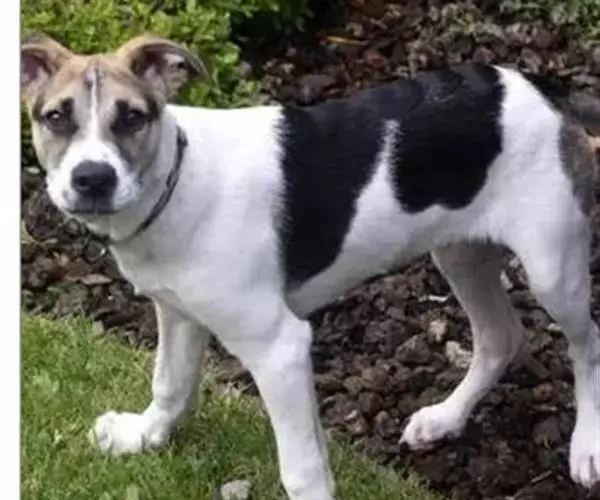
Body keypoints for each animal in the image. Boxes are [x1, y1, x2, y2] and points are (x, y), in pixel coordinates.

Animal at [21, 33, 600, 499]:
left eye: (132, 118)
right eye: (56, 118)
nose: (93, 180)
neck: (176, 181)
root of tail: (546, 91)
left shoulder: (279, 349)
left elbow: (301, 469)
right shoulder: (179, 314)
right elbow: (170, 384)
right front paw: (142, 437)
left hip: (551, 266)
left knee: (586, 344)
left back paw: (586, 446)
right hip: (460, 252)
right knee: (501, 337)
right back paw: (445, 418)